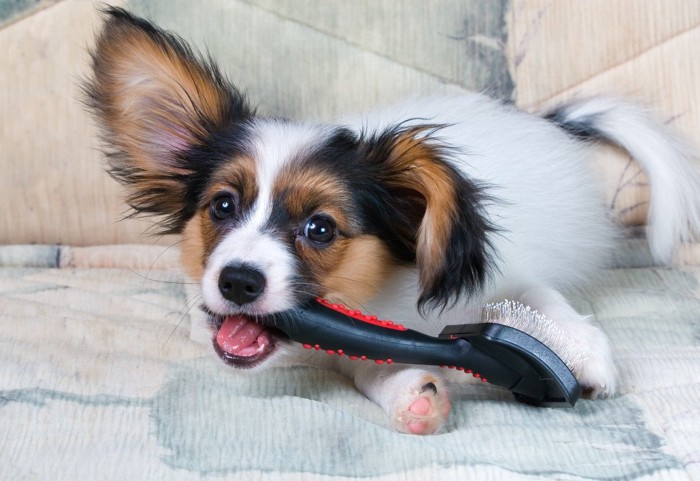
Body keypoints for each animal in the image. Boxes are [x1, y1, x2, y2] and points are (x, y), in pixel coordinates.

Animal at [86, 7, 700, 436]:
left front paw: (586, 352)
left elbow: (540, 297)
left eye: (321, 228)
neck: (382, 298)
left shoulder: (509, 273)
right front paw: (413, 392)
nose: (237, 280)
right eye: (222, 206)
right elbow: (374, 363)